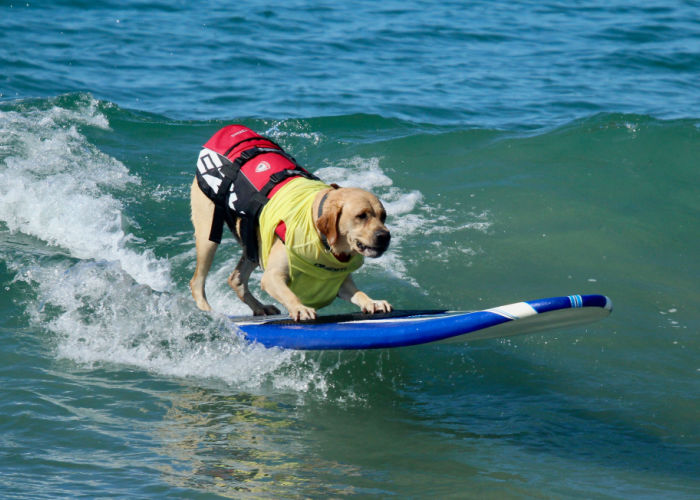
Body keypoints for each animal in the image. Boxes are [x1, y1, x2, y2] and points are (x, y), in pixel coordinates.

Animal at [189, 125, 392, 320]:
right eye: (361, 215)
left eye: (383, 216)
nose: (385, 236)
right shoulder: (272, 276)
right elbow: (289, 295)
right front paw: (300, 308)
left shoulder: (339, 283)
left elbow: (359, 293)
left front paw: (372, 302)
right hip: (208, 235)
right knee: (197, 282)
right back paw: (209, 313)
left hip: (254, 245)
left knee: (236, 279)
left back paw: (260, 307)